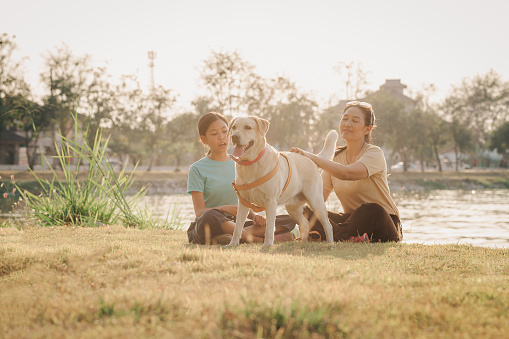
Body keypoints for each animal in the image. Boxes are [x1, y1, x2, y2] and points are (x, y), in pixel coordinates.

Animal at [228, 117, 336, 247]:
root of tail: (311, 158)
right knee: (305, 223)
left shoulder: (270, 201)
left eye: (248, 127)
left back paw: (330, 243)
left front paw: (267, 245)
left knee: (328, 225)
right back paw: (302, 243)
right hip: (292, 208)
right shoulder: (243, 202)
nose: (234, 136)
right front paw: (232, 244)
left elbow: (269, 228)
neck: (251, 163)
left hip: (316, 201)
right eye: (234, 127)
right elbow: (237, 227)